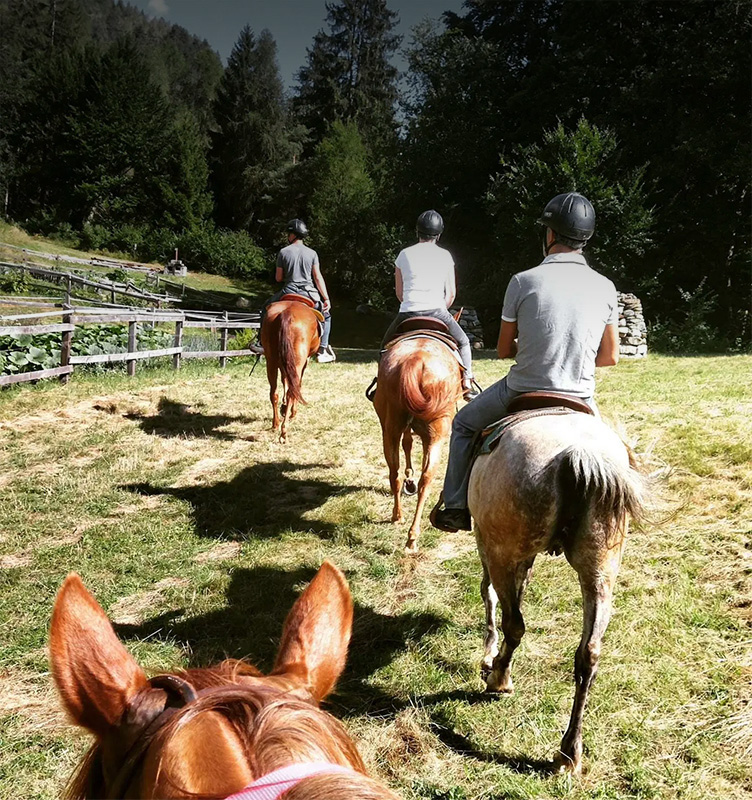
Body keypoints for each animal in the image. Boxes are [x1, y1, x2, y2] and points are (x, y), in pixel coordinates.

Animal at [262, 298, 320, 440]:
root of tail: (287, 313)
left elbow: (285, 381)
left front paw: (283, 408)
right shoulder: (304, 363)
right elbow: (297, 385)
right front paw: (292, 412)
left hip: (271, 361)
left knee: (274, 393)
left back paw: (276, 424)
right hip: (297, 362)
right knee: (291, 393)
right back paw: (284, 431)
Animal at [372, 316, 462, 552]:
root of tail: (416, 360)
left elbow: (407, 444)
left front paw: (409, 479)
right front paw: (410, 479)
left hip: (390, 429)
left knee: (393, 473)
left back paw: (398, 517)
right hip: (438, 434)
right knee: (427, 478)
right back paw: (412, 536)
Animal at [468, 410, 644, 772]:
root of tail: (580, 453)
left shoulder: (487, 543)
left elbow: (489, 593)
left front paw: (489, 653)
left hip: (502, 552)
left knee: (515, 623)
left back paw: (499, 678)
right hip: (600, 572)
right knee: (589, 654)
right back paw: (568, 751)